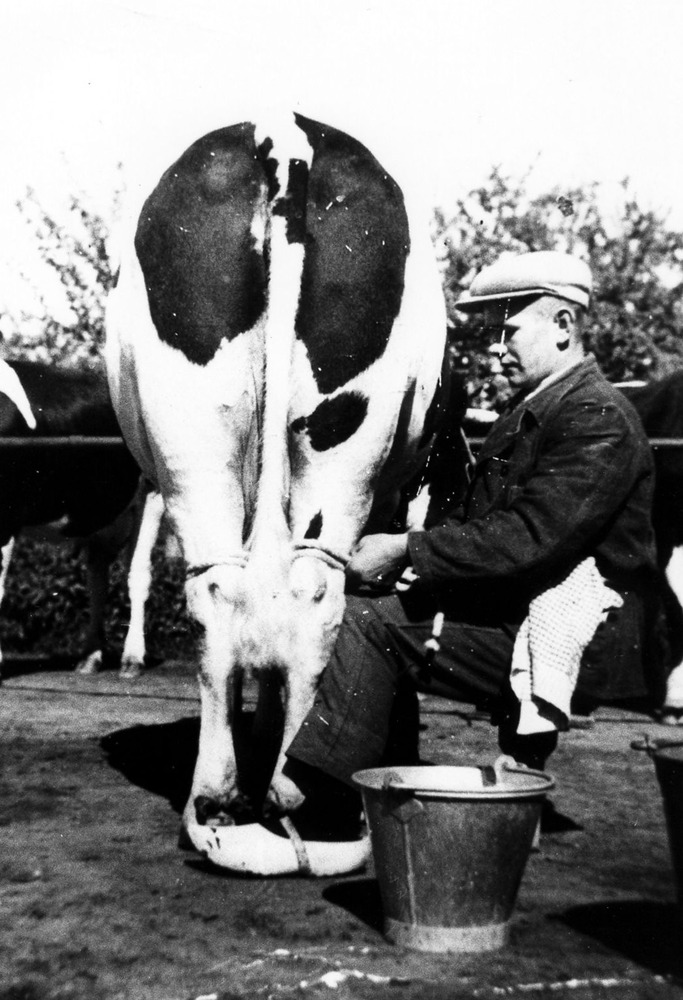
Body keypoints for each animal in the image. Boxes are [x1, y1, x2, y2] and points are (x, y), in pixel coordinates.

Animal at [0, 358, 164, 680]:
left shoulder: (6, 518)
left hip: (151, 493)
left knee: (137, 575)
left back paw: (132, 659)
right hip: (101, 517)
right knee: (97, 579)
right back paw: (90, 656)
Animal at [106, 112, 449, 865]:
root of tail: (282, 136)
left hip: (195, 436)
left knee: (231, 593)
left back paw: (226, 799)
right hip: (335, 449)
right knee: (310, 594)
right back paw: (298, 794)